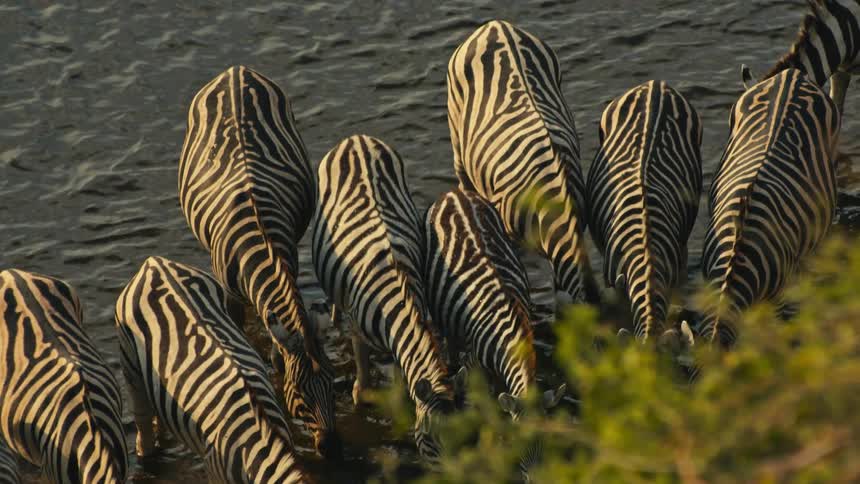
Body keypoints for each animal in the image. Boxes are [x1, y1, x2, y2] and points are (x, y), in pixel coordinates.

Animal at [178, 65, 340, 457]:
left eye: (335, 385)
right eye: (300, 396)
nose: (334, 450)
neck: (258, 234)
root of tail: (235, 72)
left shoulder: (288, 263)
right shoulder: (231, 293)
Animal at [312, 135, 462, 461]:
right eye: (429, 441)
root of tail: (356, 138)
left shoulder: (400, 344)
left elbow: (402, 391)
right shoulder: (358, 329)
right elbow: (362, 387)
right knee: (335, 303)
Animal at [424, 189, 565, 479]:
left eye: (549, 440)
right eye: (521, 443)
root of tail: (454, 193)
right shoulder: (476, 366)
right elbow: (486, 405)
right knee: (450, 342)